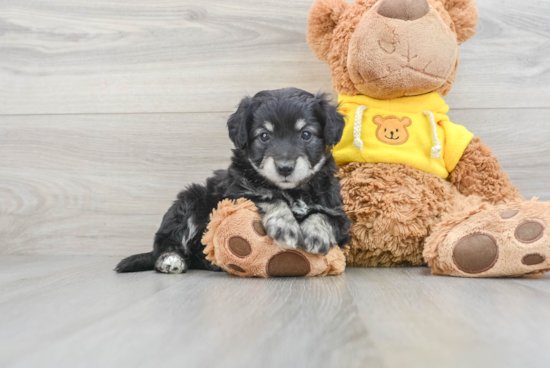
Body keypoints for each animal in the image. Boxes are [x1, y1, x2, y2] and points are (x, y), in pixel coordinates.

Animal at [115, 87, 354, 274]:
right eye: (264, 136)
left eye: (306, 134)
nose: (285, 168)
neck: (293, 191)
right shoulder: (237, 193)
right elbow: (268, 197)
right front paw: (285, 226)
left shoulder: (339, 215)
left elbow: (324, 216)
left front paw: (316, 235)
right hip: (188, 201)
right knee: (168, 243)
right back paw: (171, 260)